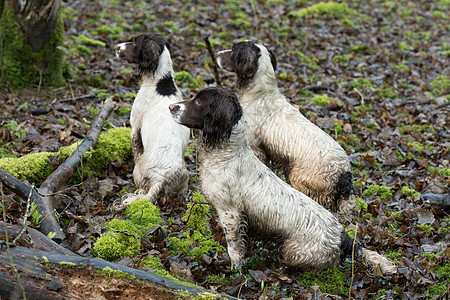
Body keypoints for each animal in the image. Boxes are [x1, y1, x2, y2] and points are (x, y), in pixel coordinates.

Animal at [115, 34, 189, 205]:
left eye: (134, 42)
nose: (116, 47)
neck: (161, 83)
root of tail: (161, 180)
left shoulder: (134, 129)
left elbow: (136, 150)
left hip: (138, 171)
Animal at [169, 85, 398, 276]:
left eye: (199, 102)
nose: (171, 106)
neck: (227, 155)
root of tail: (343, 236)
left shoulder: (230, 213)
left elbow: (234, 249)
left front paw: (235, 271)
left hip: (292, 250)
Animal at [218, 41, 356, 214]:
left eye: (233, 50)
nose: (217, 54)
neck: (261, 93)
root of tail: (344, 173)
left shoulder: (256, 147)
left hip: (300, 178)